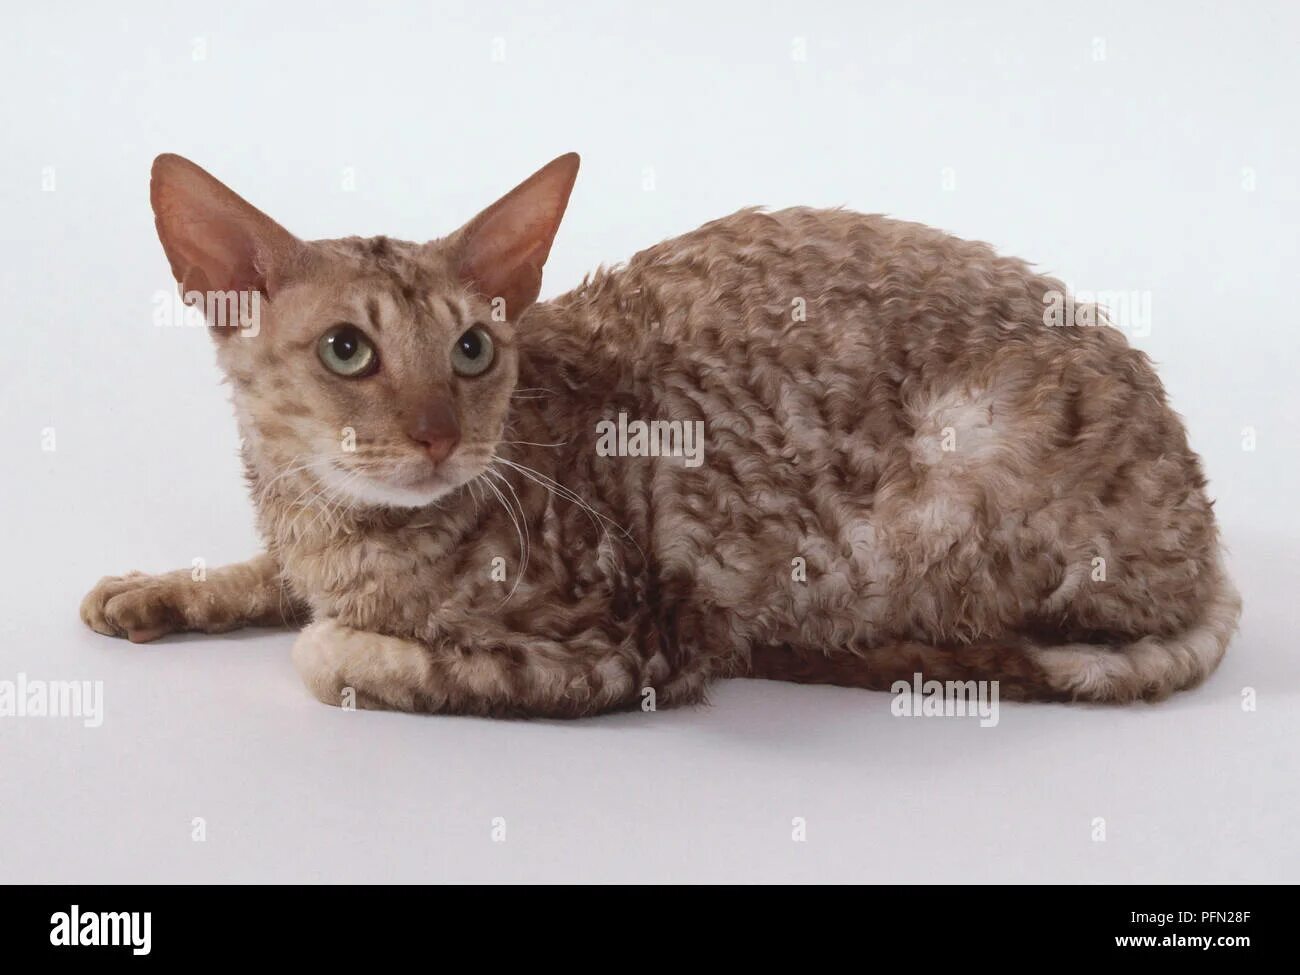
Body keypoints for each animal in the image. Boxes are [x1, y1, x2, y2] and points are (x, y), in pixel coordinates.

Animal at [78, 152, 1237, 717]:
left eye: (470, 351)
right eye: (346, 351)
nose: (438, 438)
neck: (345, 528)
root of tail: (1205, 525)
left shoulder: (626, 646)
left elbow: (332, 653)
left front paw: (337, 636)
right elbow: (270, 575)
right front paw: (155, 590)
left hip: (944, 488)